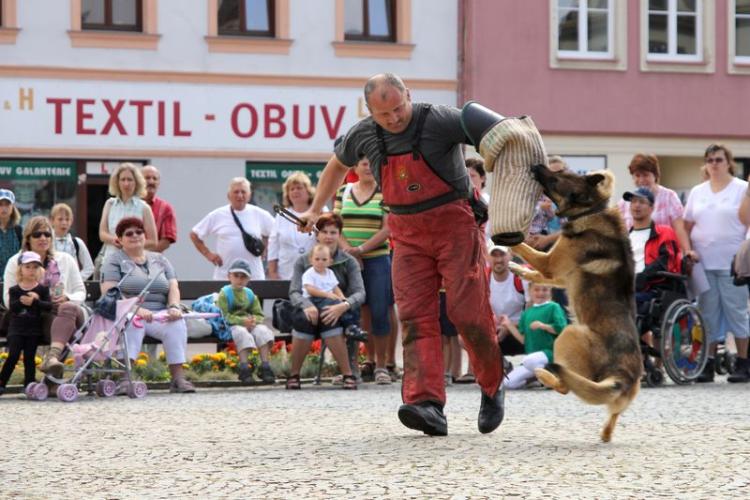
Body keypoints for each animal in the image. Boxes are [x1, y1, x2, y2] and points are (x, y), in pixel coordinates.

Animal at [512, 167, 648, 442]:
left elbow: (525, 247)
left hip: (569, 333)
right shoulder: (557, 275)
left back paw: (543, 373)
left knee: (565, 385)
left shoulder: (550, 263)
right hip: (619, 398)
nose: (536, 167)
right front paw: (518, 269)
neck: (590, 210)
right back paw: (605, 434)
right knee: (611, 414)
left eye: (555, 177)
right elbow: (534, 271)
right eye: (560, 171)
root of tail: (623, 376)